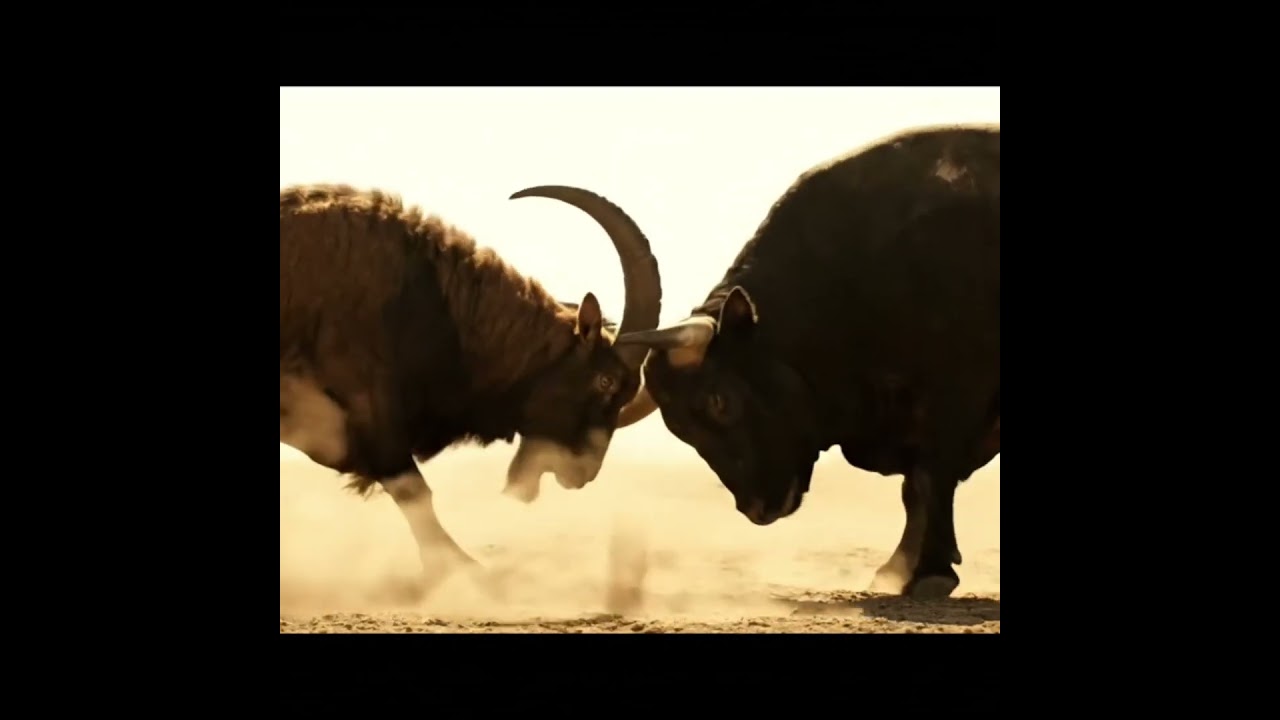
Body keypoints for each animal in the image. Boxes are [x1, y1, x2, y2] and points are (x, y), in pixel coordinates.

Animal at [514, 124, 1000, 600]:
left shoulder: (951, 400)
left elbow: (928, 479)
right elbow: (914, 489)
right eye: (679, 427)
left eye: (719, 400)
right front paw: (899, 568)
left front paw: (929, 572)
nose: (759, 508)